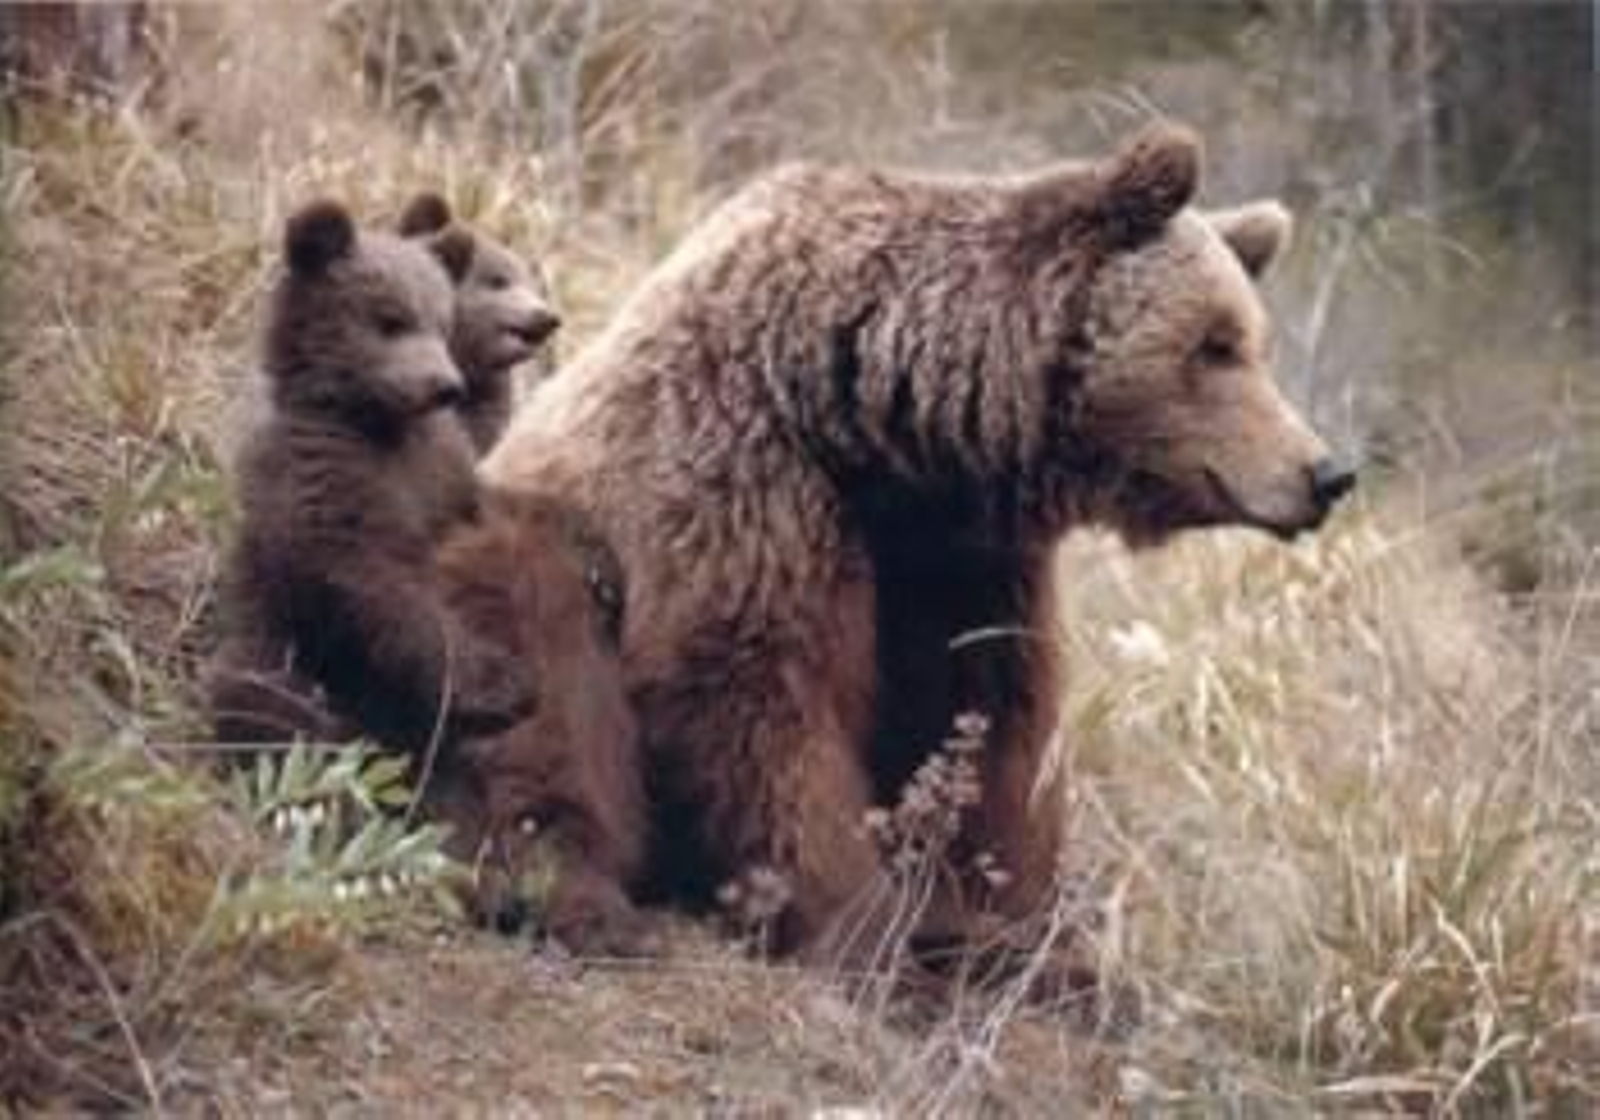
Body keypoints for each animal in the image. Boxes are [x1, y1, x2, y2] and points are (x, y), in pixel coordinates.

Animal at [481, 121, 1356, 965]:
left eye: (1252, 341)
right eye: (1215, 344)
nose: (1326, 472)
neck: (875, 427)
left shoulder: (957, 562)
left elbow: (987, 729)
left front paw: (1004, 920)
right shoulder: (745, 496)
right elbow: (757, 712)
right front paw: (865, 925)